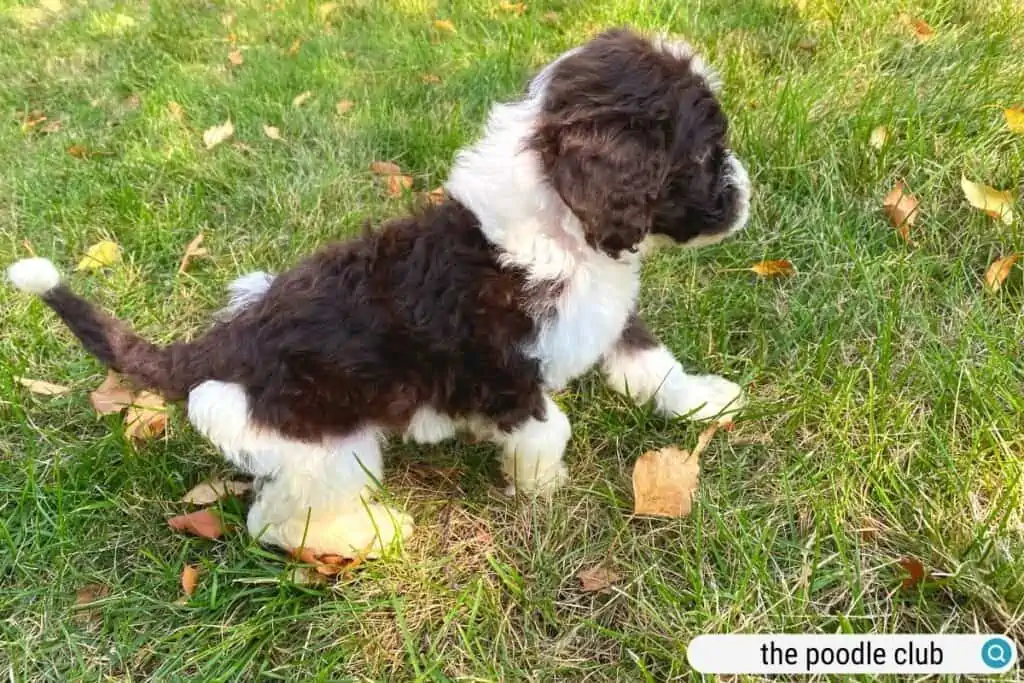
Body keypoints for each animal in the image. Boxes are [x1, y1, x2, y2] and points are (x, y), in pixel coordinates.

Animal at [8, 28, 753, 561]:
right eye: (704, 154)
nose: (746, 193)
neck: (560, 232)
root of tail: (217, 348)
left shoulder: (606, 314)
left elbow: (653, 364)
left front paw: (705, 400)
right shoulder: (495, 372)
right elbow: (550, 425)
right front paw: (539, 486)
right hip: (325, 443)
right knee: (273, 520)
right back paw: (372, 535)